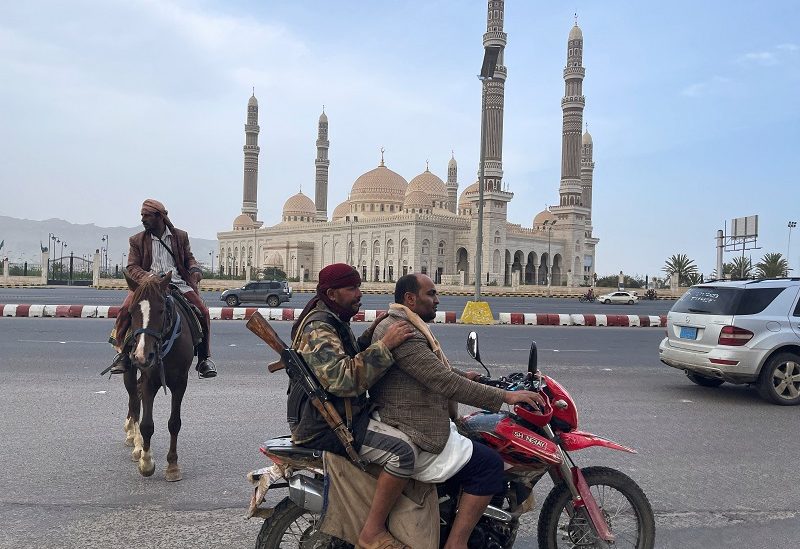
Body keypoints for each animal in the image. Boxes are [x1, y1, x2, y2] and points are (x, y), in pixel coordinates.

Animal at [122, 270, 197, 480]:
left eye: (161, 310)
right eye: (132, 312)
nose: (142, 355)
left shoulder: (181, 382)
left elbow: (174, 422)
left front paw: (172, 465)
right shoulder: (150, 379)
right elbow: (147, 424)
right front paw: (146, 463)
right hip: (130, 370)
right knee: (134, 398)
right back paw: (135, 440)